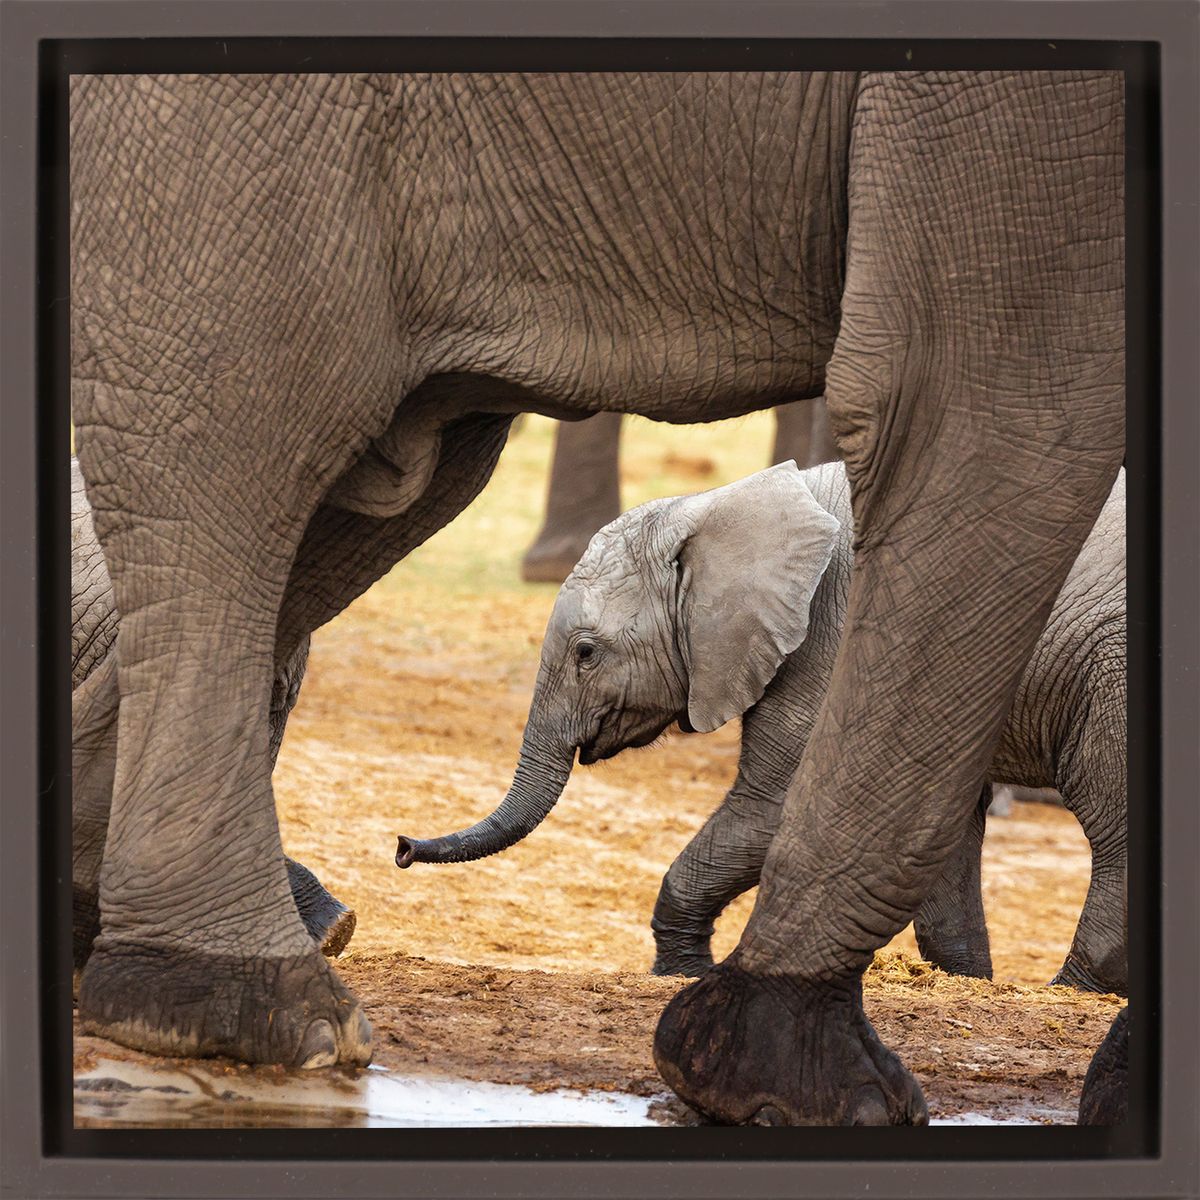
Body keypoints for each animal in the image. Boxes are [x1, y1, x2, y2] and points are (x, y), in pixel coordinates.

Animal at [398, 460, 1128, 995]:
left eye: (585, 653)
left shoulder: (836, 639)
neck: (725, 507)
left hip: (1112, 670)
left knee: (1110, 819)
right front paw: (965, 982)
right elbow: (934, 823)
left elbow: (785, 805)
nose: (402, 846)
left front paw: (684, 975)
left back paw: (1076, 990)